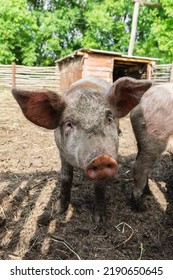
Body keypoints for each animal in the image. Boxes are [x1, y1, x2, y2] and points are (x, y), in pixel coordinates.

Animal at [11, 75, 151, 222]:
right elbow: (66, 178)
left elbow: (99, 185)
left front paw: (100, 220)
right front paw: (59, 211)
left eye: (109, 119)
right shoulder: (61, 151)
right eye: (69, 124)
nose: (101, 158)